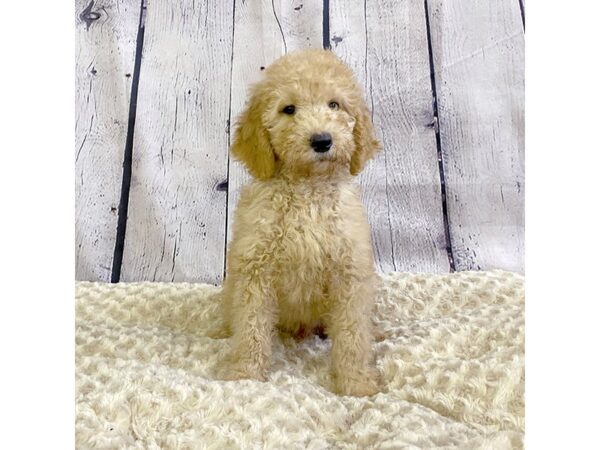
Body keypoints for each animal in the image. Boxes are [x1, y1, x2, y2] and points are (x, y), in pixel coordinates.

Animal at [219, 47, 380, 396]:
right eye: (288, 109)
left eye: (334, 104)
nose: (321, 141)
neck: (308, 191)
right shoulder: (254, 271)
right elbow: (251, 329)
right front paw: (245, 374)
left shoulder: (349, 272)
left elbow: (353, 334)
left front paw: (356, 382)